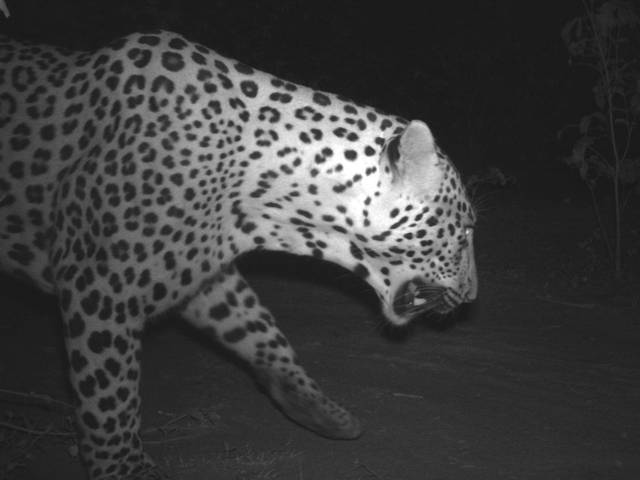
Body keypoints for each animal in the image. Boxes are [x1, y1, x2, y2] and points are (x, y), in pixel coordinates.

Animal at [0, 31, 477, 479]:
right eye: (467, 228)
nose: (473, 296)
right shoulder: (100, 289)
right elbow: (110, 393)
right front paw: (124, 469)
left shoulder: (204, 273)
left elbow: (259, 328)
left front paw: (319, 411)